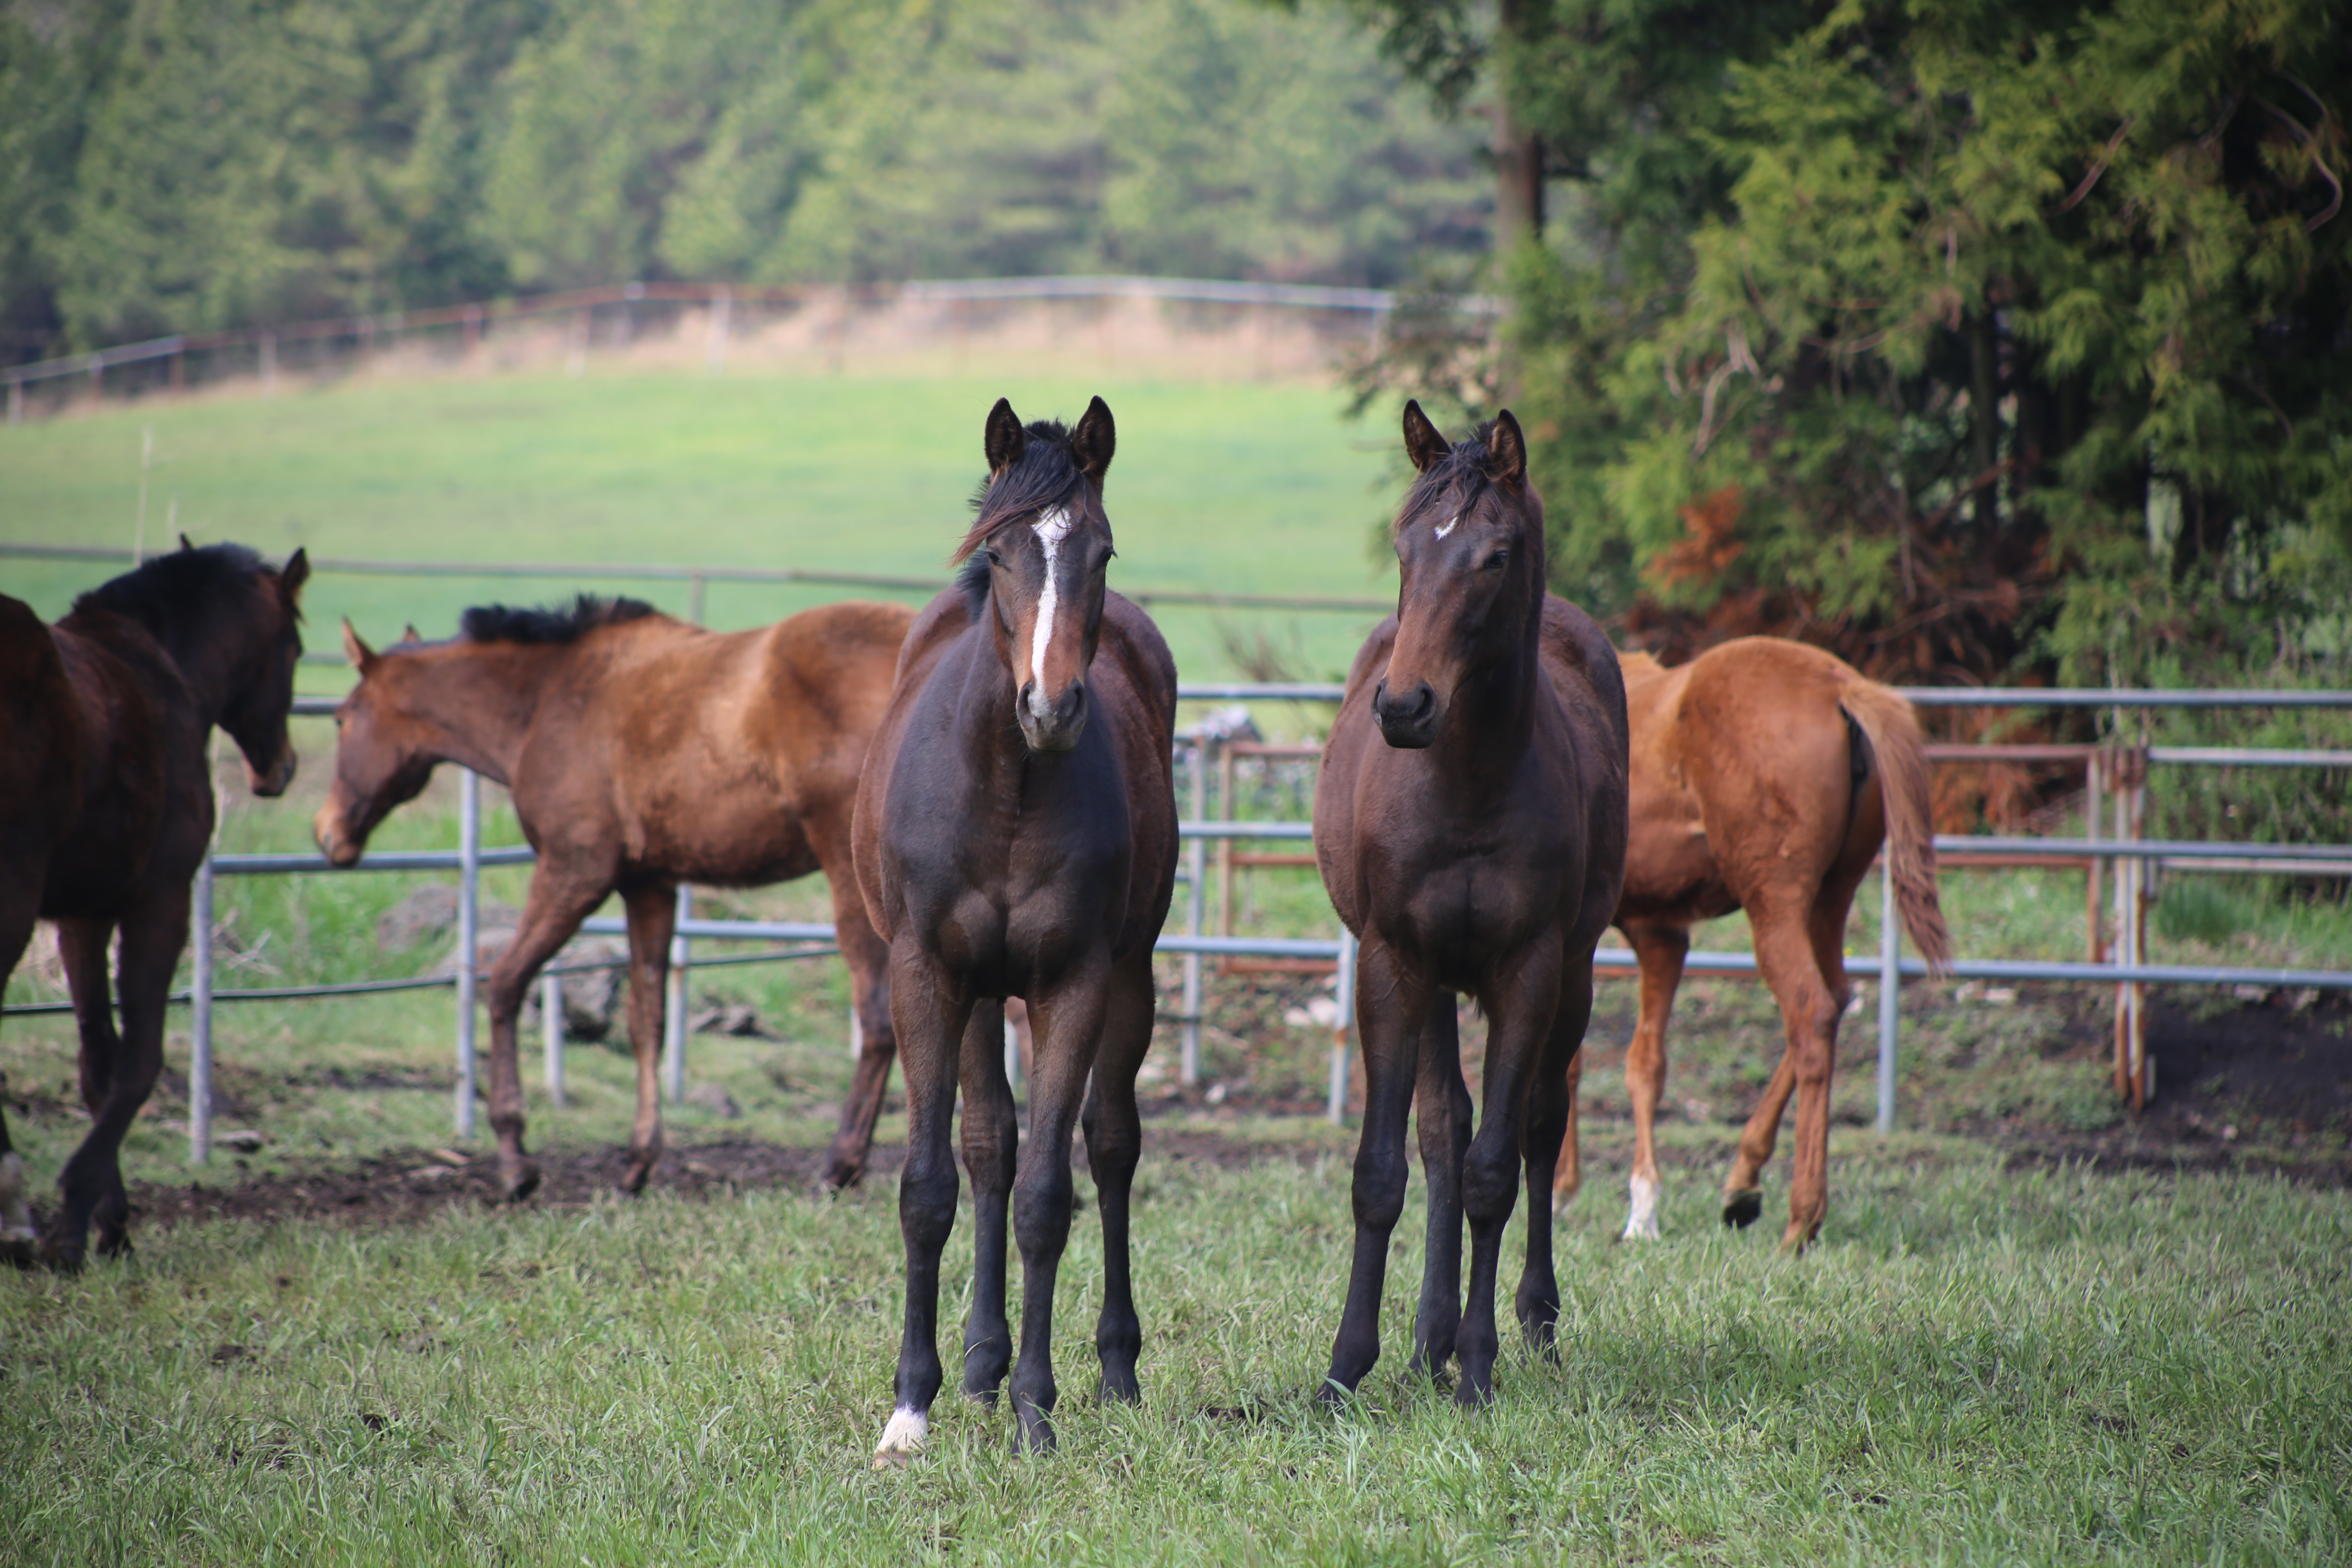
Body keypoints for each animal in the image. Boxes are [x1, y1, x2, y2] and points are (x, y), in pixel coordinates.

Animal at [0, 545, 305, 1269]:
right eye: (296, 647)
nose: (280, 768)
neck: (159, 669)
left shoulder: (83, 917)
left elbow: (98, 1064)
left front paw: (110, 1225)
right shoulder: (159, 901)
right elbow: (139, 1063)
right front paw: (76, 1225)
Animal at [1317, 404, 1627, 1410]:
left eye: (1495, 555)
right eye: (1404, 546)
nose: (1405, 706)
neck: (1467, 786)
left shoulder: (1529, 970)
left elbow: (1497, 1166)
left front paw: (1481, 1369)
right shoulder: (1393, 963)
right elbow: (1387, 1167)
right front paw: (1347, 1366)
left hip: (1571, 977)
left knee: (1536, 1126)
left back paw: (1526, 1325)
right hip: (1437, 983)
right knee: (1442, 1129)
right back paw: (1427, 1341)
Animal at [1552, 635, 1957, 1250]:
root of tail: (1839, 687)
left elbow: (1576, 1060)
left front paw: (1572, 1191)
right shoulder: (1660, 932)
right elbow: (1645, 1064)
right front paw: (1639, 1207)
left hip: (1775, 905)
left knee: (1810, 1014)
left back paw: (1801, 1218)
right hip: (1830, 897)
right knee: (1834, 1001)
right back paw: (1744, 1182)